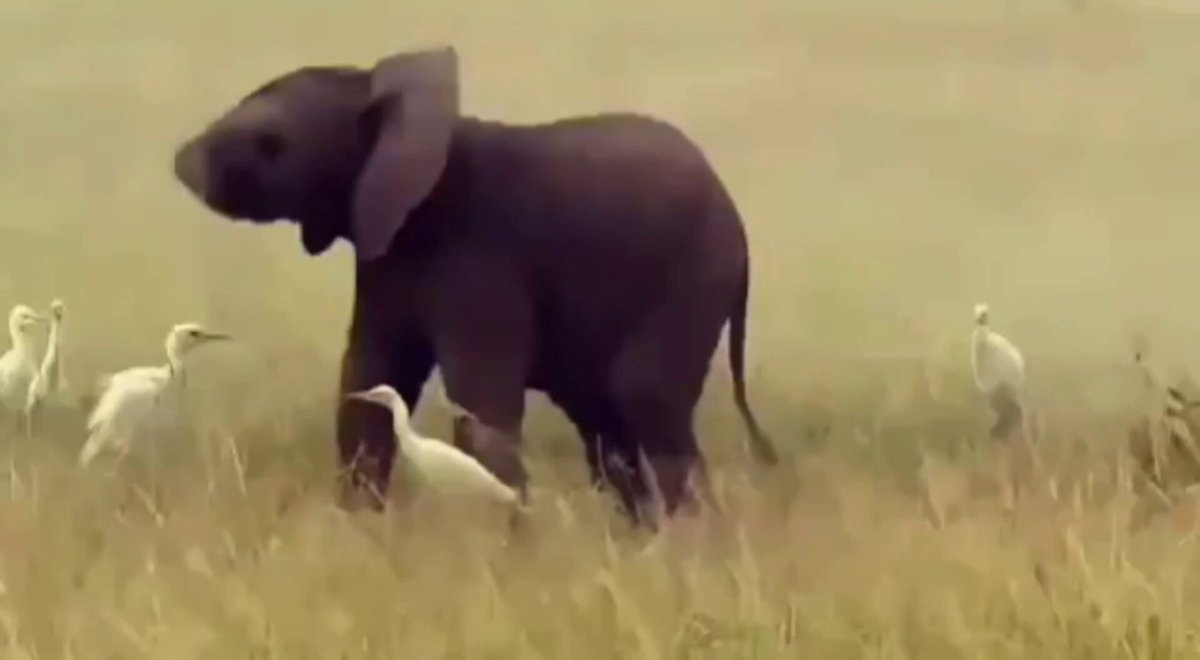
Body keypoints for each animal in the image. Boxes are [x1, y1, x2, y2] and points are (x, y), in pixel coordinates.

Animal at [171, 45, 778, 525]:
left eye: (270, 142)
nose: (181, 162)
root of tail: (740, 225)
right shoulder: (385, 246)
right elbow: (369, 376)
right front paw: (357, 539)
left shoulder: (481, 251)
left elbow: (480, 399)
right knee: (605, 421)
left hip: (695, 276)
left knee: (642, 399)